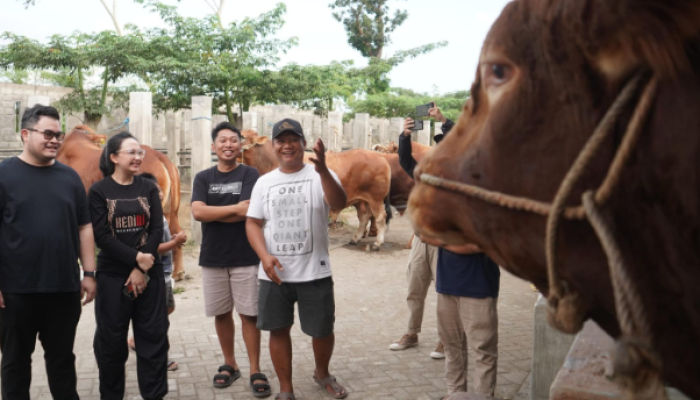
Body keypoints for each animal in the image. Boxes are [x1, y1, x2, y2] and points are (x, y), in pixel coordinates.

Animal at [242, 131, 394, 250]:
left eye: (242, 136)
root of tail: (380, 157)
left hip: (375, 199)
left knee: (380, 217)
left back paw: (377, 243)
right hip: (364, 199)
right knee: (364, 217)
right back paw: (355, 238)